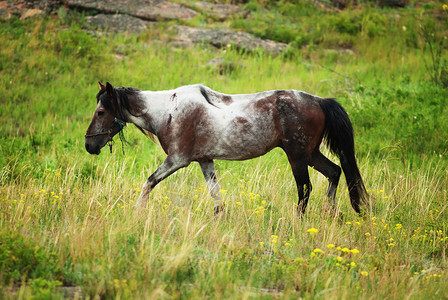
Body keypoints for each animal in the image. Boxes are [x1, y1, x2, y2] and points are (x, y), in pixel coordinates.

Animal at [86, 81, 370, 214]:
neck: (167, 110)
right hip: (310, 153)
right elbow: (216, 196)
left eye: (101, 112)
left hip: (297, 156)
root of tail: (320, 101)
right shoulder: (205, 160)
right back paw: (330, 212)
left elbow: (149, 182)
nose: (89, 144)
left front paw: (136, 212)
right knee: (334, 172)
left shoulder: (177, 160)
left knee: (305, 188)